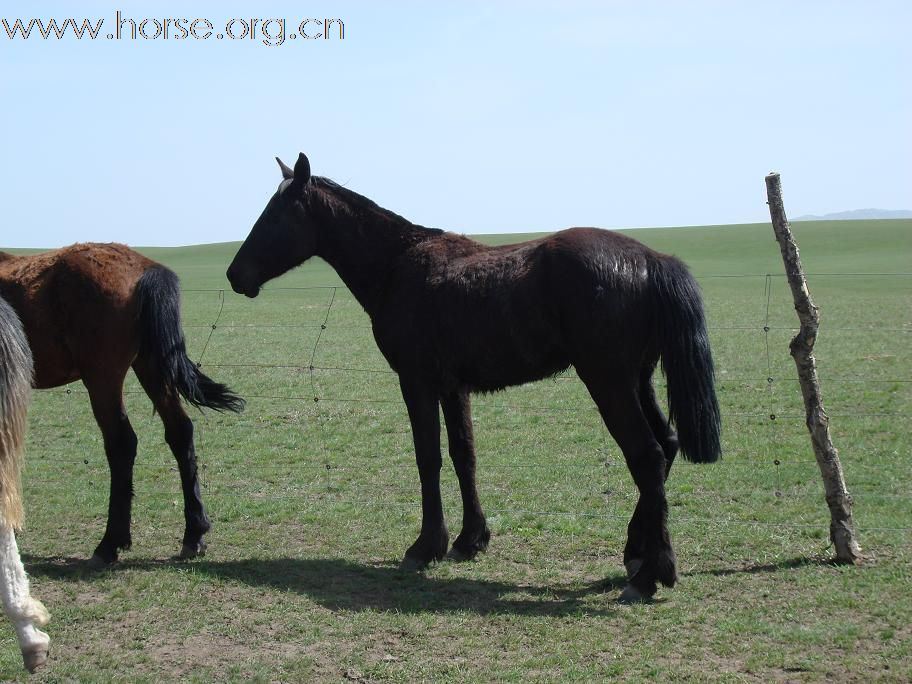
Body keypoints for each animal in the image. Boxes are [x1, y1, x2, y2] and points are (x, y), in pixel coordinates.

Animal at [0, 243, 244, 564]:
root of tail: (144, 268)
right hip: (151, 367)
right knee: (180, 432)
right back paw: (194, 534)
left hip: (103, 378)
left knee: (121, 443)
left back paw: (110, 543)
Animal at [226, 154, 720, 600]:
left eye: (274, 216)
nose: (234, 274)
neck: (398, 264)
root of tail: (652, 259)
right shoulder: (452, 387)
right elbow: (464, 455)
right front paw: (470, 539)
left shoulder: (417, 383)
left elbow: (428, 458)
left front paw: (425, 546)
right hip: (638, 381)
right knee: (667, 446)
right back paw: (638, 553)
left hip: (609, 383)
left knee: (647, 456)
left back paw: (650, 574)